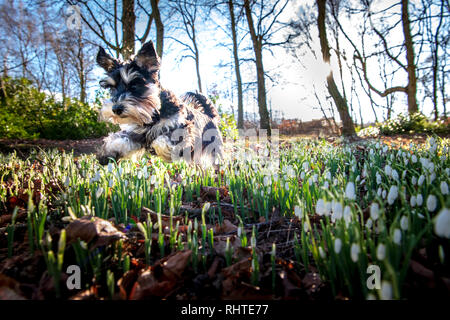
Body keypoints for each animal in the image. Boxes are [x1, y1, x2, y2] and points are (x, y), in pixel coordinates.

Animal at [95, 40, 223, 166]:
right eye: (112, 88)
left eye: (134, 85)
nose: (116, 109)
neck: (155, 113)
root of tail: (210, 117)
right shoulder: (137, 133)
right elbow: (120, 139)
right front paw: (107, 154)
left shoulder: (183, 130)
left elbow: (161, 141)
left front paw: (164, 151)